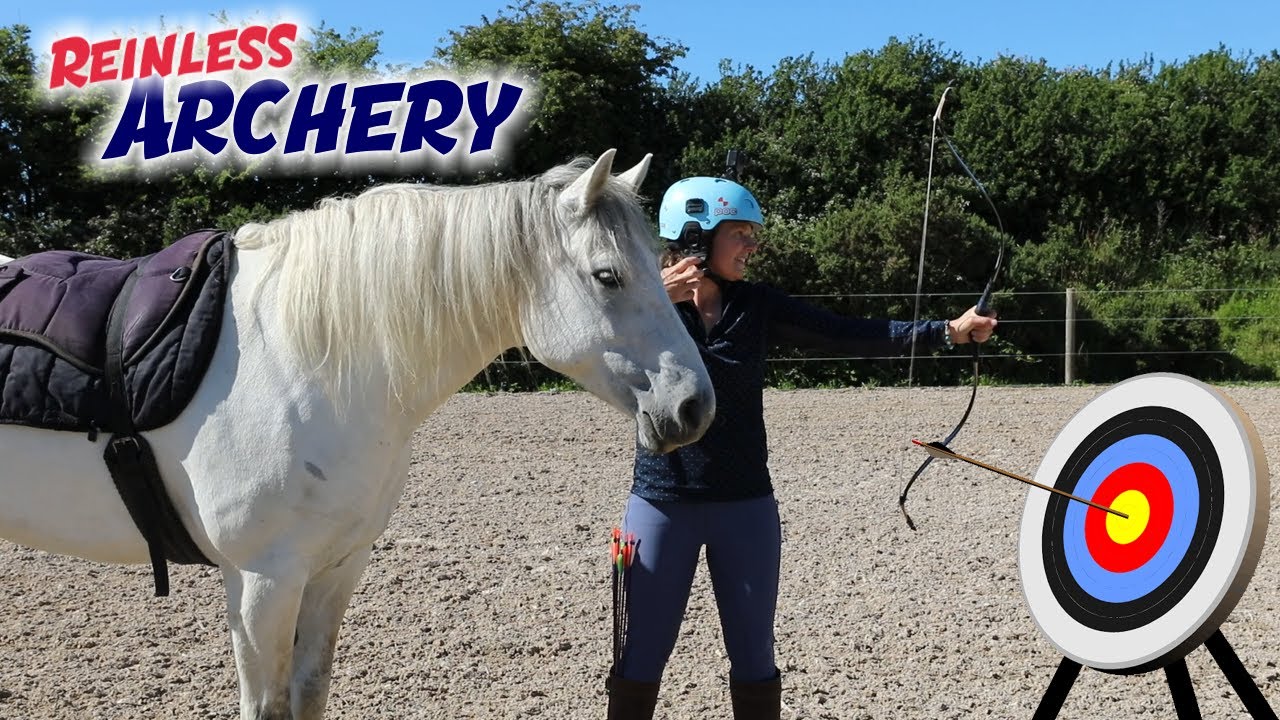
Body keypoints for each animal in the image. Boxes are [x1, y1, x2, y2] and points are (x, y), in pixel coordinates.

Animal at [0, 149, 715, 719]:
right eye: (608, 275)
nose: (695, 407)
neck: (296, 359)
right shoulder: (262, 582)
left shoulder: (337, 569)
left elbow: (310, 692)